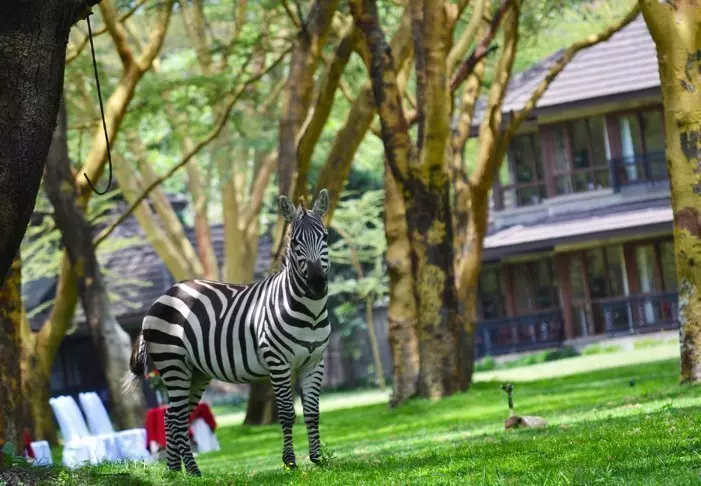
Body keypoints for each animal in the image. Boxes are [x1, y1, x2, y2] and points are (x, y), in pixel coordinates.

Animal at [127, 189, 332, 475]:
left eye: (325, 237)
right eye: (294, 243)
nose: (316, 284)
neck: (310, 312)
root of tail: (165, 294)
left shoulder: (315, 362)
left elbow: (312, 412)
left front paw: (317, 459)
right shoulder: (278, 363)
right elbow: (287, 413)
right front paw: (290, 462)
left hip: (196, 372)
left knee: (173, 418)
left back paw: (176, 472)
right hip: (173, 364)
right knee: (176, 417)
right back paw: (192, 471)